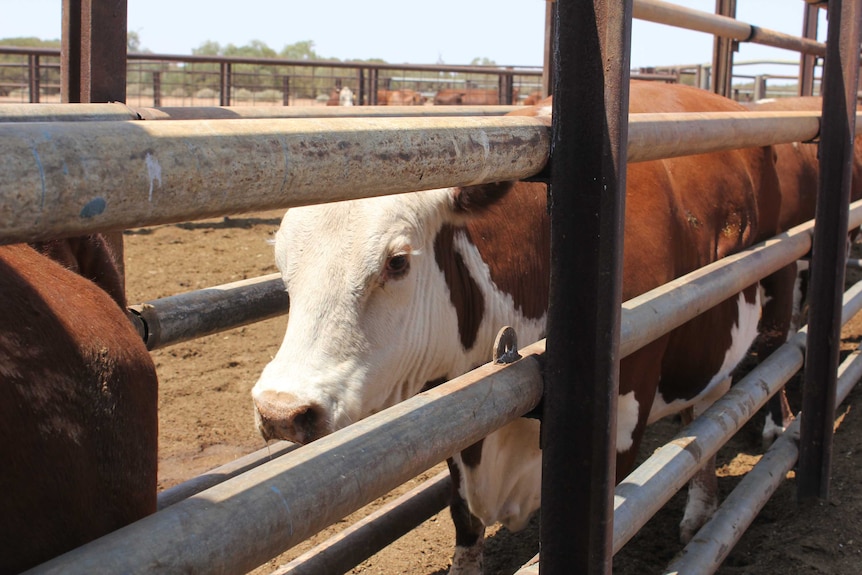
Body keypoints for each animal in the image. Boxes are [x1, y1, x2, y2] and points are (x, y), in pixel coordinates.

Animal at [253, 82, 792, 575]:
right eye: (282, 261)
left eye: (398, 262)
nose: (281, 411)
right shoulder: (459, 415)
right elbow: (465, 520)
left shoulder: (621, 424)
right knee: (708, 409)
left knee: (774, 353)